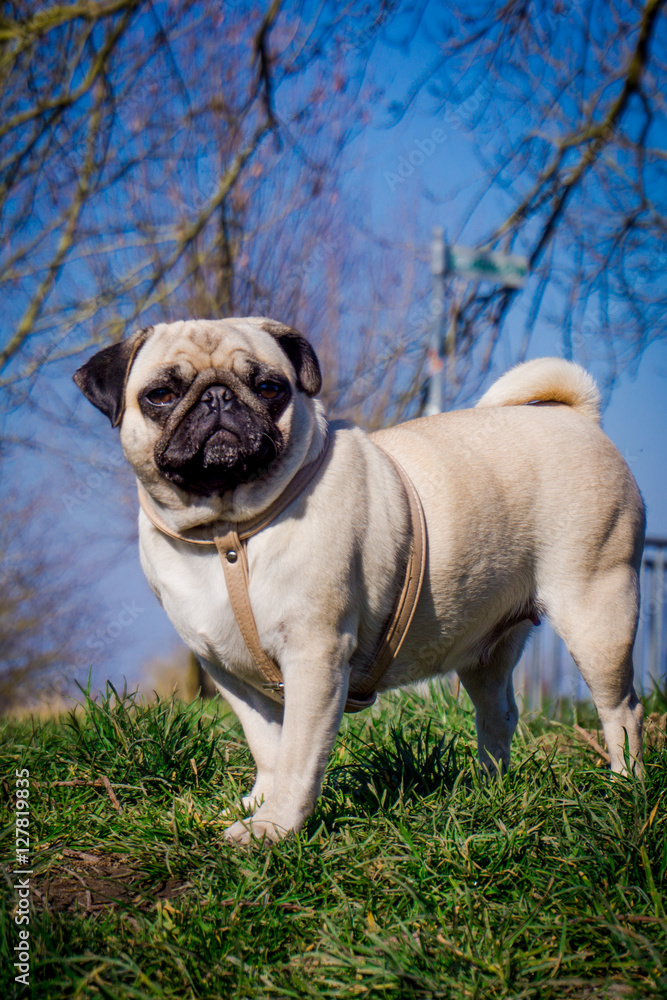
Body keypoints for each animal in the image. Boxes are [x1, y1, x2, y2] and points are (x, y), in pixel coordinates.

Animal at [74, 320, 648, 844]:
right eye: (161, 395)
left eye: (269, 387)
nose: (218, 397)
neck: (226, 533)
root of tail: (577, 417)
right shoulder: (228, 672)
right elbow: (268, 747)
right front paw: (259, 804)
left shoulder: (315, 658)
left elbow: (299, 755)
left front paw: (275, 828)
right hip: (487, 650)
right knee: (499, 715)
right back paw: (490, 790)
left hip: (598, 613)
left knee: (622, 710)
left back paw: (625, 787)